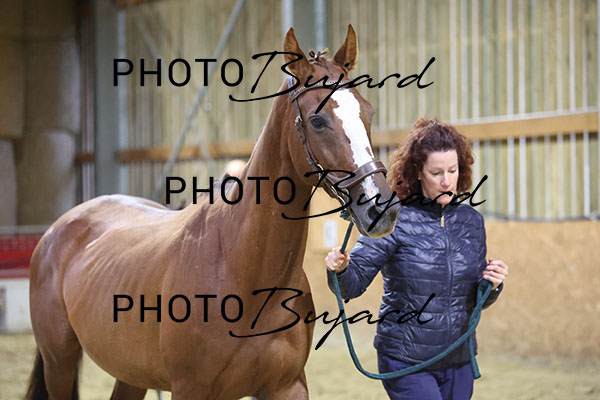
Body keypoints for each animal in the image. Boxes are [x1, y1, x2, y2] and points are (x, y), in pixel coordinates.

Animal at [25, 25, 400, 400]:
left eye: (368, 112)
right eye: (317, 120)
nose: (380, 205)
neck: (239, 267)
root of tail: (55, 232)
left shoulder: (288, 386)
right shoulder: (190, 388)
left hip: (130, 373)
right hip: (59, 363)